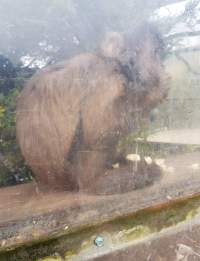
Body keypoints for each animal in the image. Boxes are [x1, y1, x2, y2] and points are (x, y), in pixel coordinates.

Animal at [16, 23, 168, 193]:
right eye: (135, 53)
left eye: (157, 52)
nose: (157, 69)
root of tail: (54, 182)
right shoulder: (105, 78)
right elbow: (99, 129)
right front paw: (155, 91)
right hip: (74, 170)